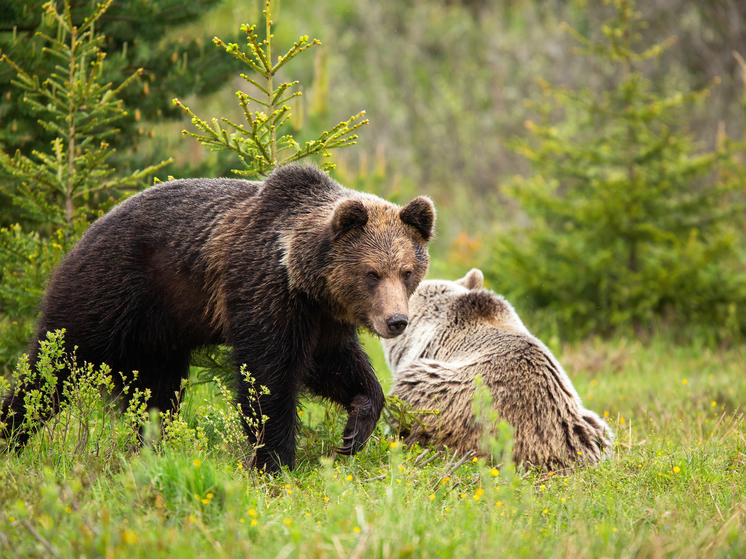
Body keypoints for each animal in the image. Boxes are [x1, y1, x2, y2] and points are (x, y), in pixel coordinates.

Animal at [0, 164, 434, 470]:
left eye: (407, 271)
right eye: (372, 273)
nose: (396, 320)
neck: (302, 276)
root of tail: (80, 236)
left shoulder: (323, 317)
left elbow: (335, 365)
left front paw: (355, 428)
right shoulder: (261, 288)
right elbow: (267, 379)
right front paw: (276, 462)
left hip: (159, 339)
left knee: (158, 398)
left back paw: (150, 448)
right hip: (108, 294)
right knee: (51, 367)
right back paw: (12, 433)